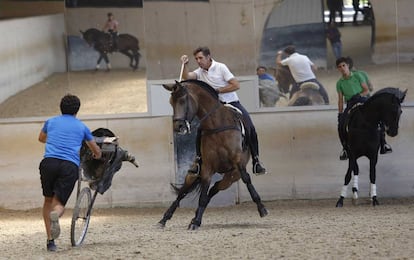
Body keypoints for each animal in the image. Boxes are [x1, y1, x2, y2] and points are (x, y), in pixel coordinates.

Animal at [158, 79, 268, 230]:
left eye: (183, 100)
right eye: (171, 102)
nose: (178, 127)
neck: (217, 125)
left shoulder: (238, 162)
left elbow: (246, 179)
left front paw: (261, 208)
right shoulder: (207, 167)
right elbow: (202, 194)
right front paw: (196, 222)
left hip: (231, 176)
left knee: (214, 189)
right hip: (193, 174)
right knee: (183, 192)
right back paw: (165, 218)